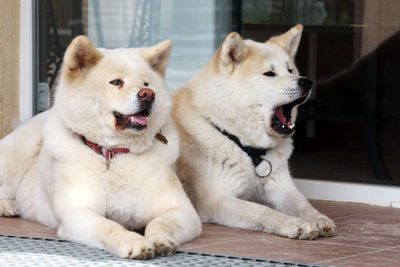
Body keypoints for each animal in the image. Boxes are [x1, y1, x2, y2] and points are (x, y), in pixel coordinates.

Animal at [0, 35, 200, 260]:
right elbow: (110, 227)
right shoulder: (79, 212)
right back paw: (7, 205)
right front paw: (135, 242)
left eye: (147, 83)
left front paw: (160, 239)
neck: (118, 151)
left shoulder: (183, 211)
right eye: (116, 82)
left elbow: (161, 222)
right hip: (18, 154)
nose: (148, 94)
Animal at [173, 24, 338, 239]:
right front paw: (293, 223)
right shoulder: (217, 201)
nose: (306, 82)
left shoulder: (283, 188)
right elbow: (263, 211)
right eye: (269, 74)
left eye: (290, 70)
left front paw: (319, 219)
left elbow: (304, 205)